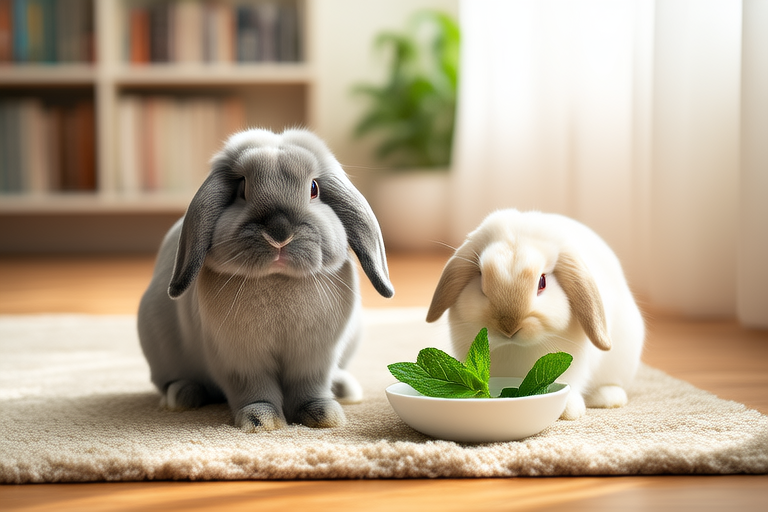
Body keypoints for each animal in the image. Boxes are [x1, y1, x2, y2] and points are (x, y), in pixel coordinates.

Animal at [138, 128, 394, 433]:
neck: (277, 279)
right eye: (242, 189)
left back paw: (345, 389)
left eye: (314, 189)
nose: (279, 233)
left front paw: (324, 416)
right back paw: (182, 395)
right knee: (171, 382)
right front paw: (261, 421)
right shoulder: (239, 360)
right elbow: (254, 390)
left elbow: (310, 388)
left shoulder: (315, 357)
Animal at [426, 209, 644, 420]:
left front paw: (568, 411)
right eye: (481, 278)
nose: (509, 327)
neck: (514, 347)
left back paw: (608, 398)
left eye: (542, 282)